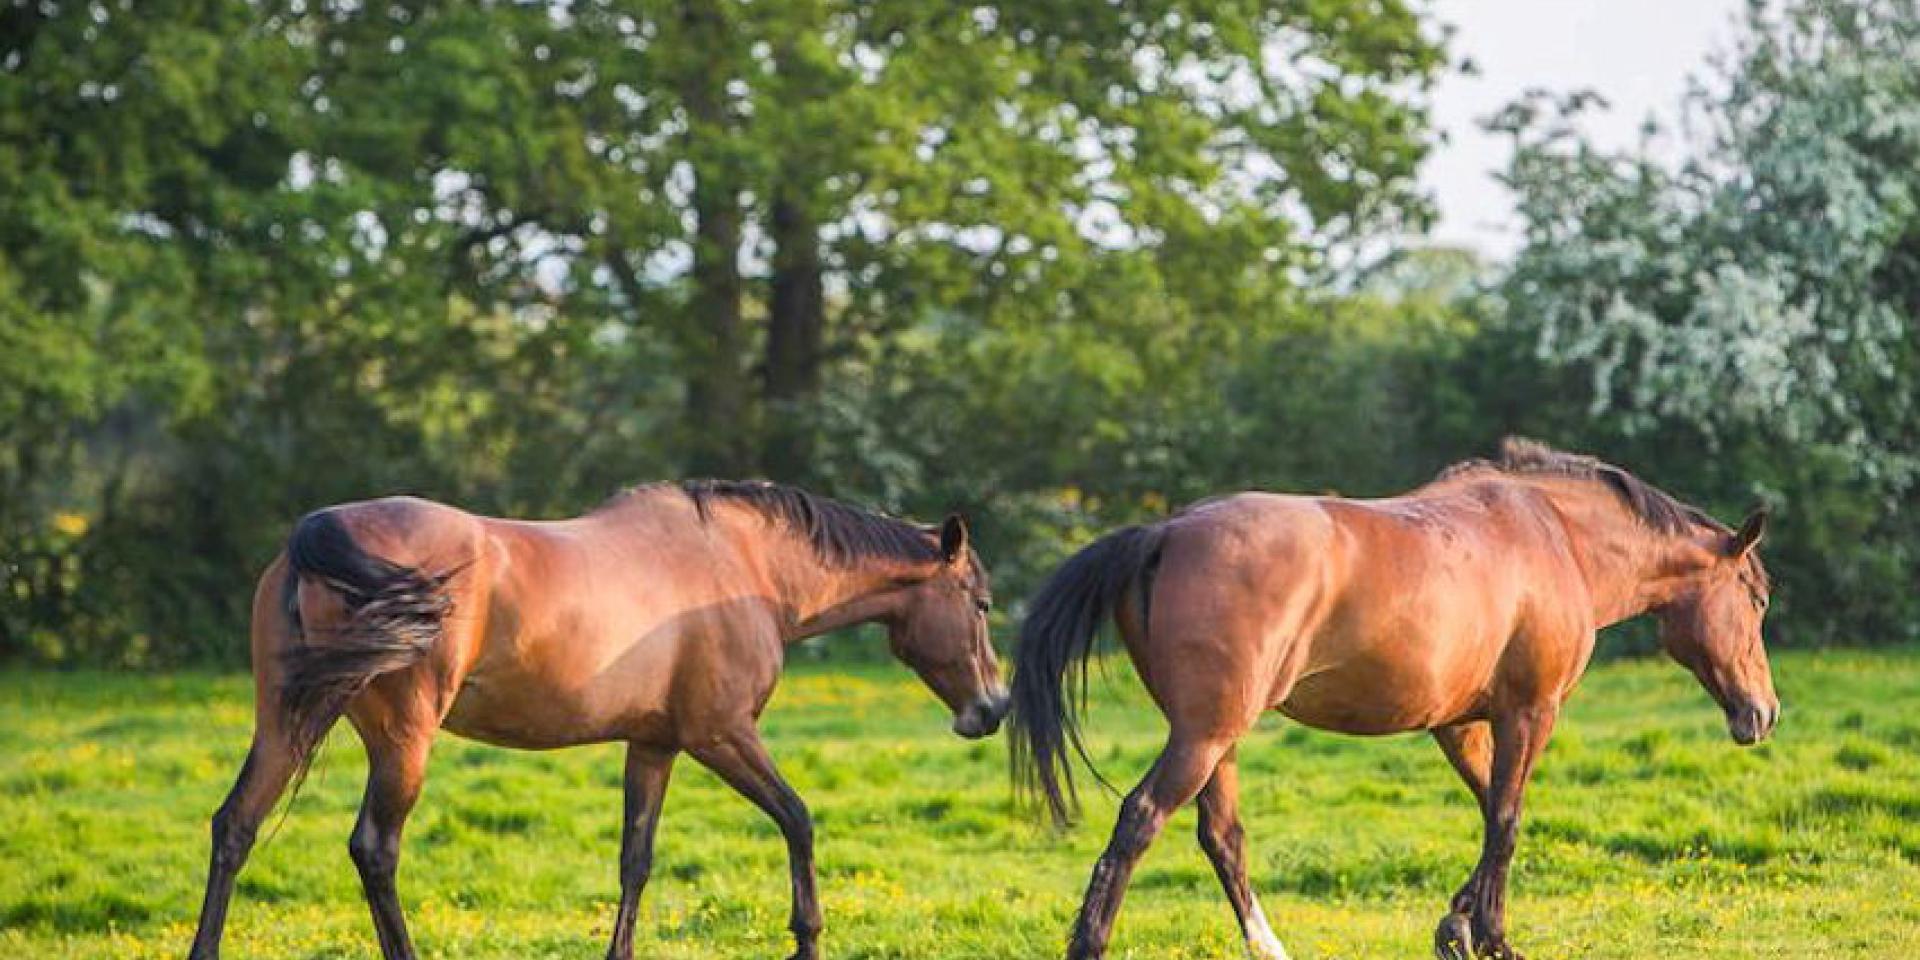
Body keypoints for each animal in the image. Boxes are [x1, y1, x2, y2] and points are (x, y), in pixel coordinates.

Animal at [186, 480, 1007, 960]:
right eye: (982, 603)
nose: (992, 708)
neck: (742, 565)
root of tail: (318, 533)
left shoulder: (654, 745)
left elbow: (634, 861)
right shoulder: (721, 735)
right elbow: (798, 819)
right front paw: (807, 937)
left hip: (286, 721)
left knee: (235, 827)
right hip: (402, 739)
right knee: (375, 850)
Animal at [1009, 438, 1777, 960]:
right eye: (1758, 598)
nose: (1763, 713)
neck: (1554, 535)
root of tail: (1163, 533)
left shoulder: (1460, 724)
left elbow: (1492, 813)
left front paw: (1457, 925)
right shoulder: (1529, 713)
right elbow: (1507, 820)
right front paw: (1492, 938)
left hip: (1212, 738)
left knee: (1222, 837)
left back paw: (1269, 947)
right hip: (1204, 735)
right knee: (1141, 819)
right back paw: (1090, 944)